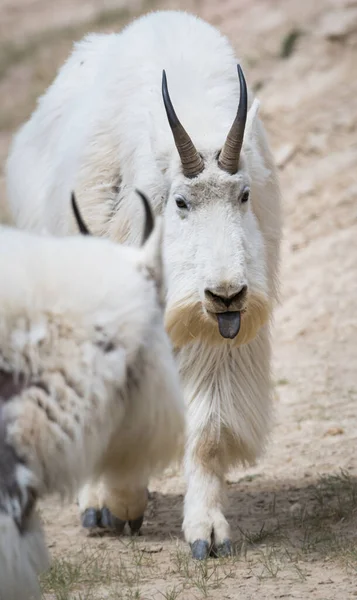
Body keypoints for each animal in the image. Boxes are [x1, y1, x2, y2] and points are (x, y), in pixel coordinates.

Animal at [6, 9, 280, 560]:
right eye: (180, 201)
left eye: (243, 194)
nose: (227, 295)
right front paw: (121, 503)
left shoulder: (213, 337)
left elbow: (207, 430)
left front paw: (206, 532)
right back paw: (97, 504)